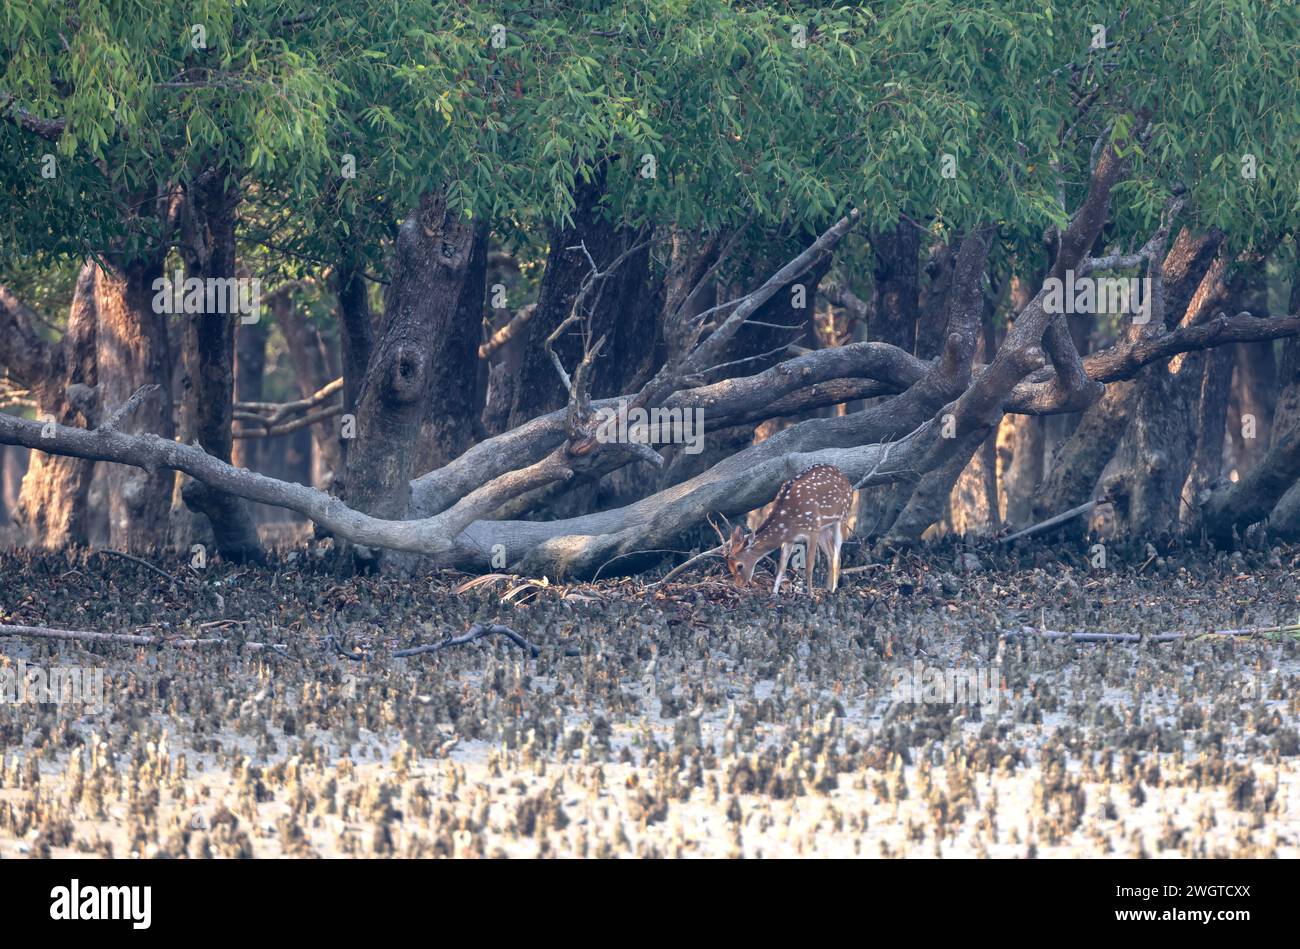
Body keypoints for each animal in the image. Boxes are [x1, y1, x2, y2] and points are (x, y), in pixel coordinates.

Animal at [721, 464, 855, 595]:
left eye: (739, 565)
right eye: (729, 566)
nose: (738, 585)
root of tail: (846, 478)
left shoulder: (812, 529)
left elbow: (809, 565)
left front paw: (810, 595)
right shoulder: (790, 538)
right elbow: (782, 565)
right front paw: (774, 593)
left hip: (842, 517)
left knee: (837, 555)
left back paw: (834, 590)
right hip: (824, 528)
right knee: (831, 554)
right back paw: (828, 590)